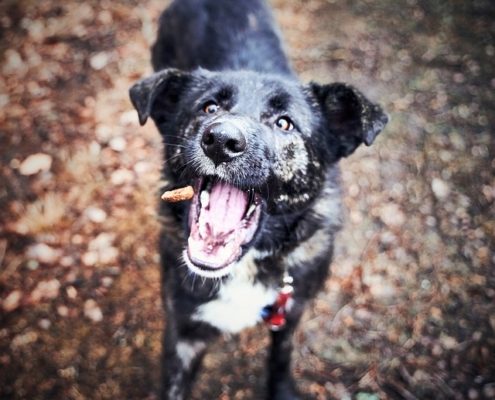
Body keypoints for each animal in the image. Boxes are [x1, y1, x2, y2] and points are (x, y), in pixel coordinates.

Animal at [128, 1, 388, 398]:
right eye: (209, 109)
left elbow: (280, 357)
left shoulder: (291, 311)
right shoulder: (183, 332)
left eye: (285, 123)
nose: (221, 141)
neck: (245, 266)